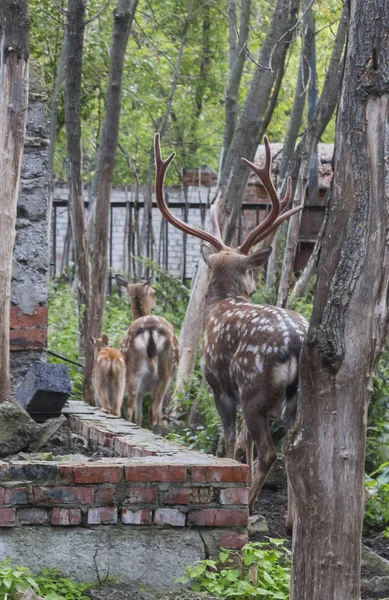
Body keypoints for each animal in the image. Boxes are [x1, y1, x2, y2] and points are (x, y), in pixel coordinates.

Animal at [113, 276, 178, 426]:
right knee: (153, 409)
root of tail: (150, 328)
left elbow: (138, 415)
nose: (156, 304)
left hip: (132, 371)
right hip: (165, 372)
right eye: (154, 292)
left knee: (130, 407)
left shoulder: (141, 388)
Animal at [153, 134, 308, 524]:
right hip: (299, 397)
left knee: (269, 450)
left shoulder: (219, 386)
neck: (218, 304)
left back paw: (250, 507)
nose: (253, 288)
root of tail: (296, 343)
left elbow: (229, 442)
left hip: (254, 387)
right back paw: (290, 520)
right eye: (249, 269)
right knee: (296, 448)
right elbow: (243, 443)